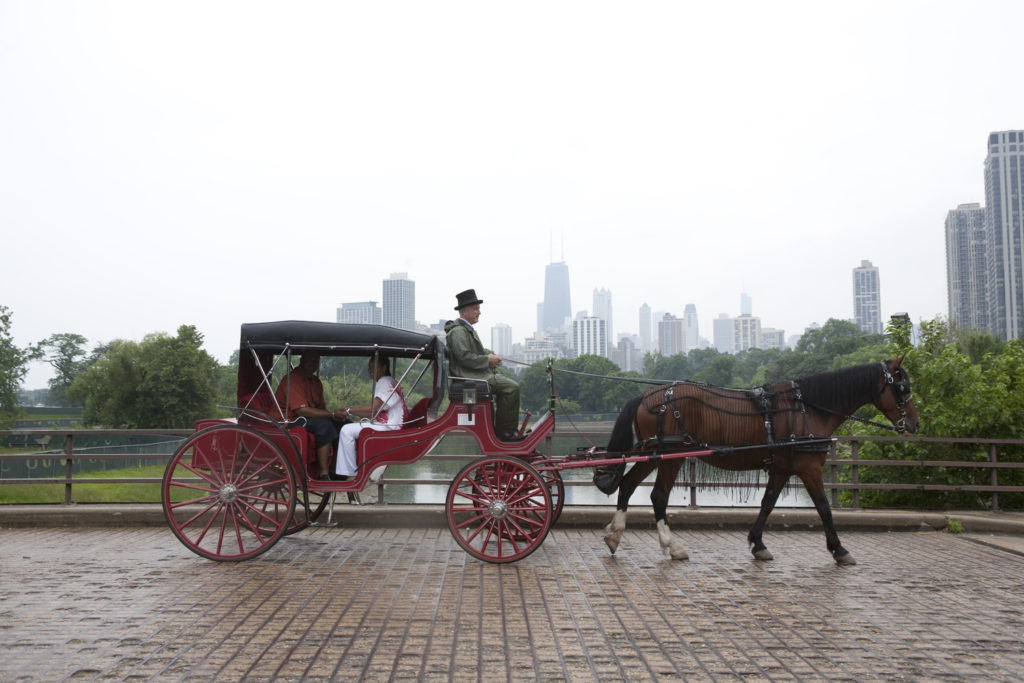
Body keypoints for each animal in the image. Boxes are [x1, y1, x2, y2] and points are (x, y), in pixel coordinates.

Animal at [598, 358, 921, 565]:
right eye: (903, 388)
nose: (915, 424)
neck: (807, 409)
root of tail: (647, 395)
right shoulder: (809, 468)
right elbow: (824, 508)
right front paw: (839, 550)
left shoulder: (781, 468)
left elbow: (767, 504)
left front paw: (758, 543)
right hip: (670, 456)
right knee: (658, 495)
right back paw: (672, 546)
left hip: (654, 454)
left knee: (628, 484)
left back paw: (615, 534)